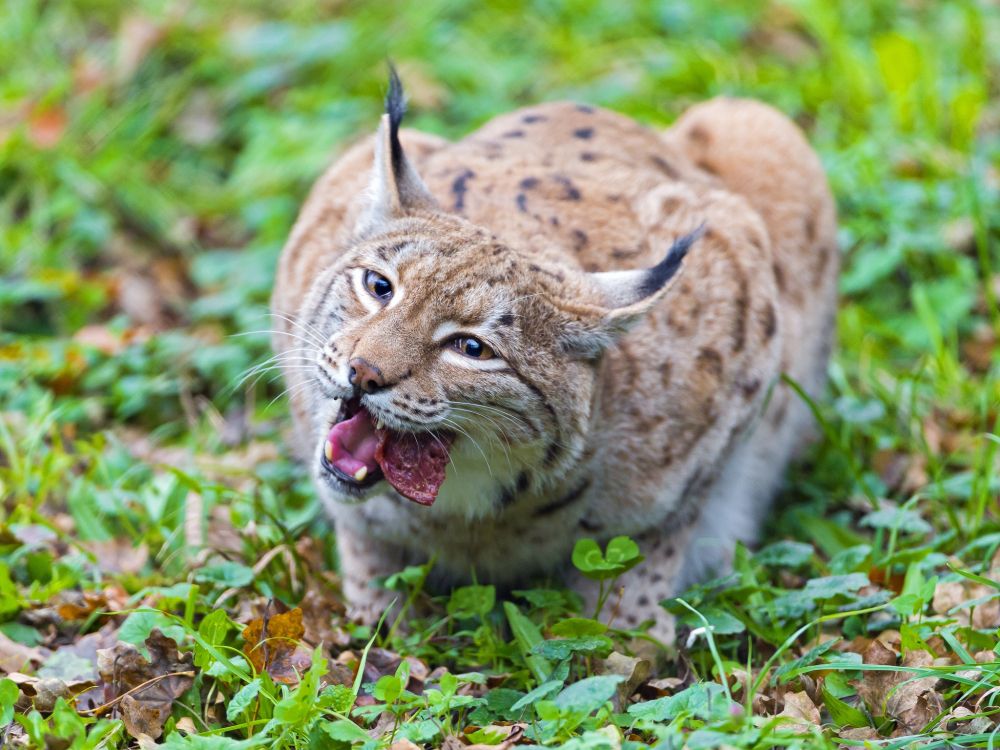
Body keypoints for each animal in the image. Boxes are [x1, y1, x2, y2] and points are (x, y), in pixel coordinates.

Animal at [272, 70, 836, 640]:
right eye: (379, 287)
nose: (363, 374)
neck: (477, 511)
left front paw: (627, 638)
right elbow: (364, 537)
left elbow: (653, 545)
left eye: (471, 349)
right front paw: (378, 623)